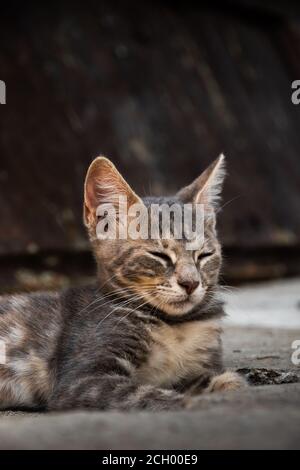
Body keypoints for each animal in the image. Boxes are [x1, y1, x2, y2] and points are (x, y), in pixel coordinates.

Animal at [0, 155, 245, 412]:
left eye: (205, 255)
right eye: (159, 255)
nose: (191, 283)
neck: (174, 325)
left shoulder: (199, 368)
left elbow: (229, 380)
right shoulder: (82, 381)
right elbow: (149, 395)